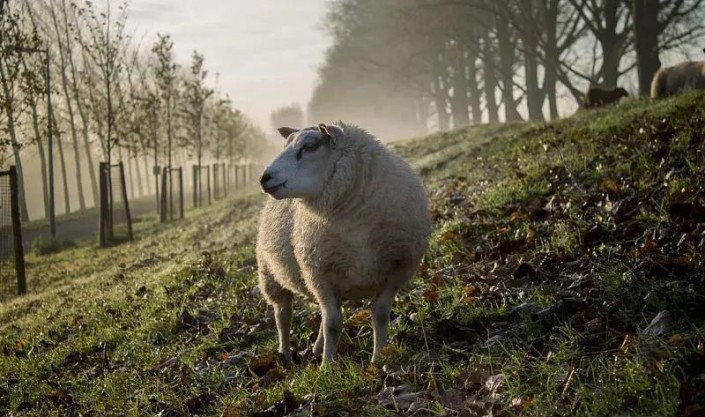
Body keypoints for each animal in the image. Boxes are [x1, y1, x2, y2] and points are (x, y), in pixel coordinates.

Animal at [253, 120, 428, 364]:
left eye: (309, 147)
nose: (264, 178)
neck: (356, 225)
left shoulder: (397, 270)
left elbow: (380, 315)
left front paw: (378, 360)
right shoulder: (321, 275)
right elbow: (333, 325)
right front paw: (328, 366)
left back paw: (316, 348)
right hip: (271, 275)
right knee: (283, 316)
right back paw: (286, 356)